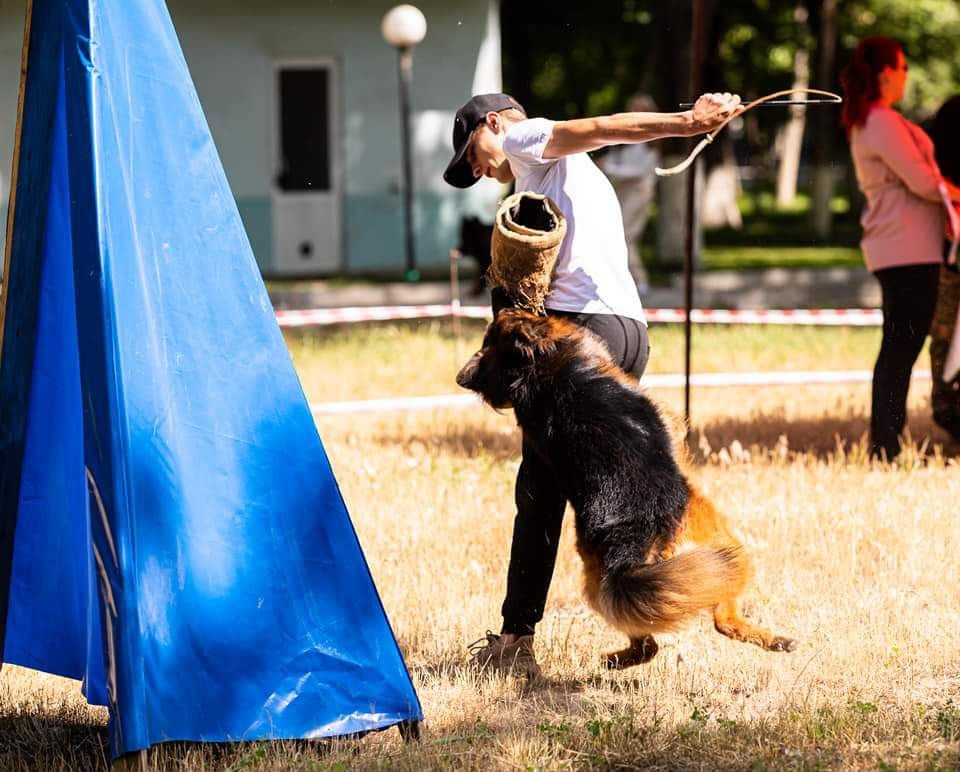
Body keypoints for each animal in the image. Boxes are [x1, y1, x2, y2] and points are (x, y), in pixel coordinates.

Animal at [458, 310, 796, 668]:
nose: (506, 308)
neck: (540, 371)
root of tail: (632, 534)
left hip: (611, 583)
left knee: (657, 635)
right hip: (721, 541)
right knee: (715, 621)